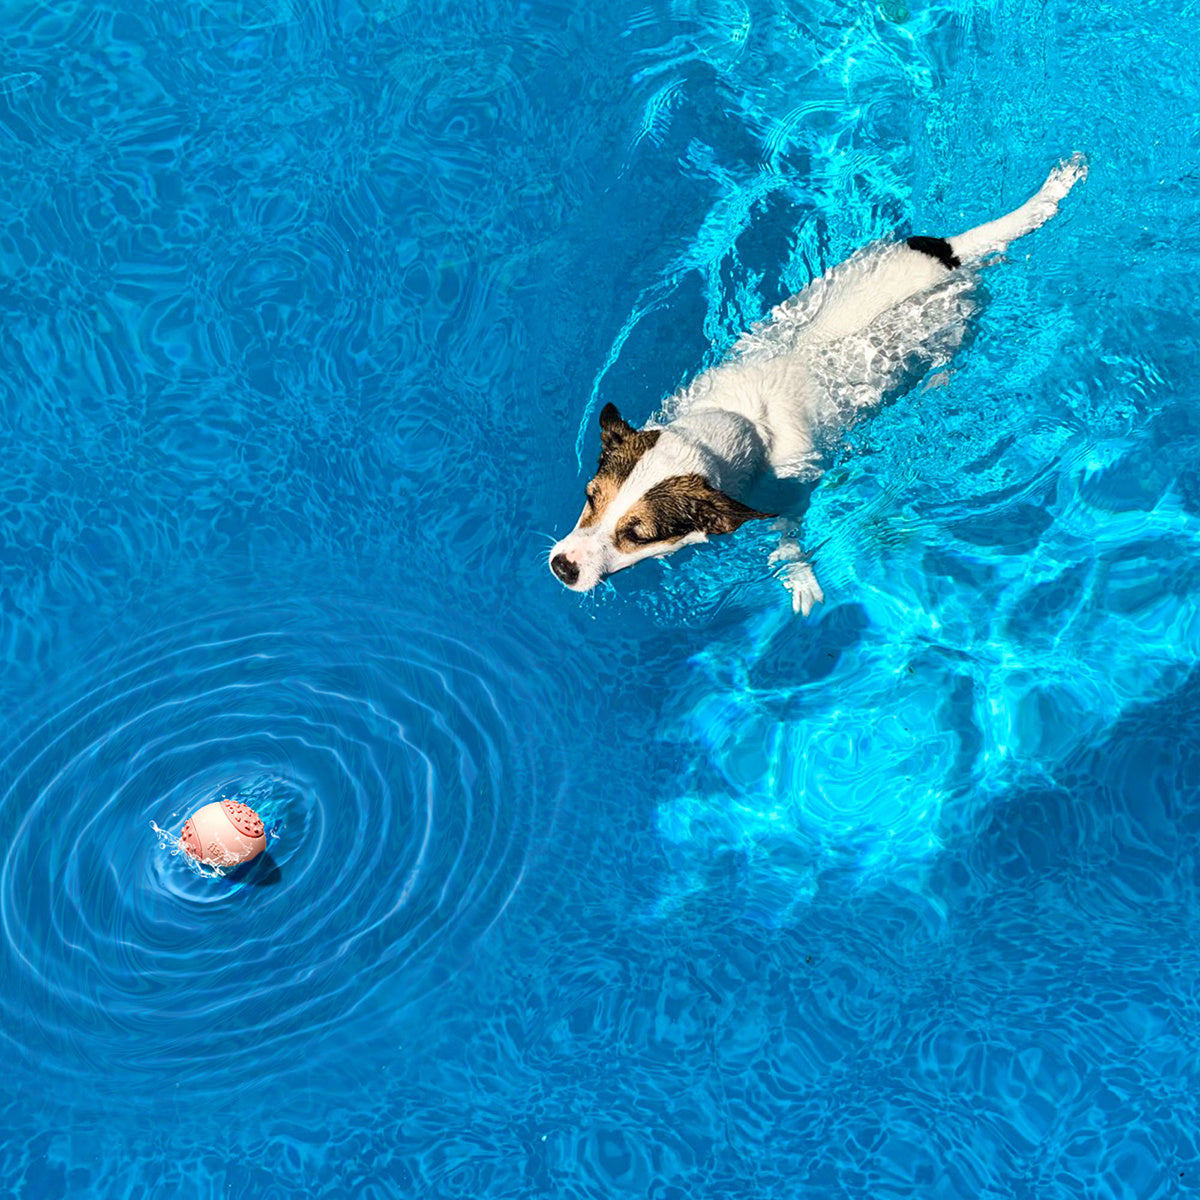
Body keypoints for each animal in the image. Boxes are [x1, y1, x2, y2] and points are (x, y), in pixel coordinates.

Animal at [549, 154, 1089, 614]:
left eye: (638, 535)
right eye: (590, 495)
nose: (562, 566)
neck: (738, 418)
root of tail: (948, 254)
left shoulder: (791, 493)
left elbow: (788, 539)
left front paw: (799, 576)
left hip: (957, 330)